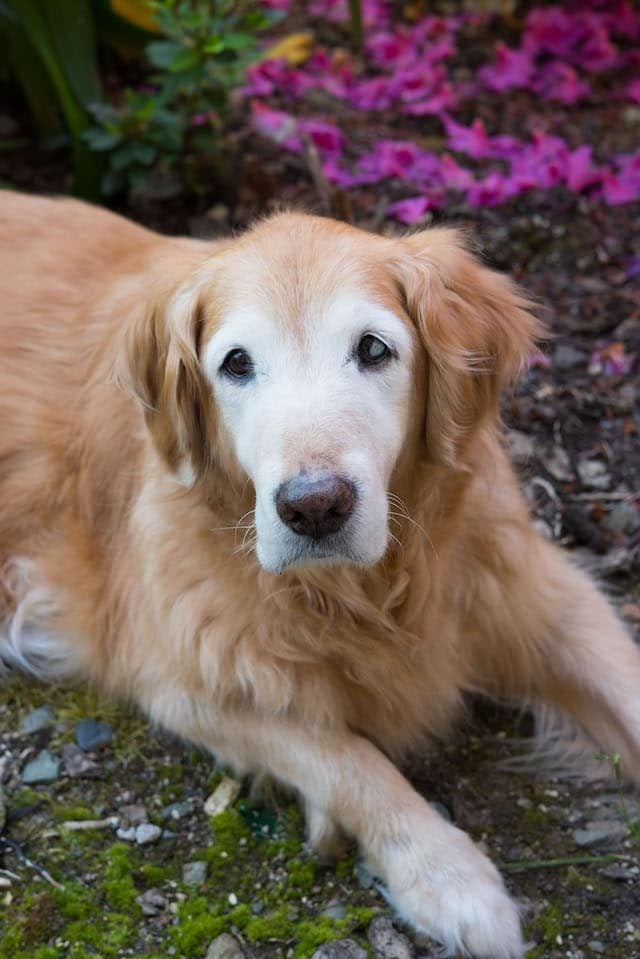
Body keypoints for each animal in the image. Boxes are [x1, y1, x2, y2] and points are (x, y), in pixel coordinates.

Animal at [1, 191, 640, 956]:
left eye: (373, 349)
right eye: (236, 363)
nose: (313, 508)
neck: (369, 593)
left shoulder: (534, 594)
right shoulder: (181, 679)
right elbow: (347, 758)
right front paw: (450, 877)